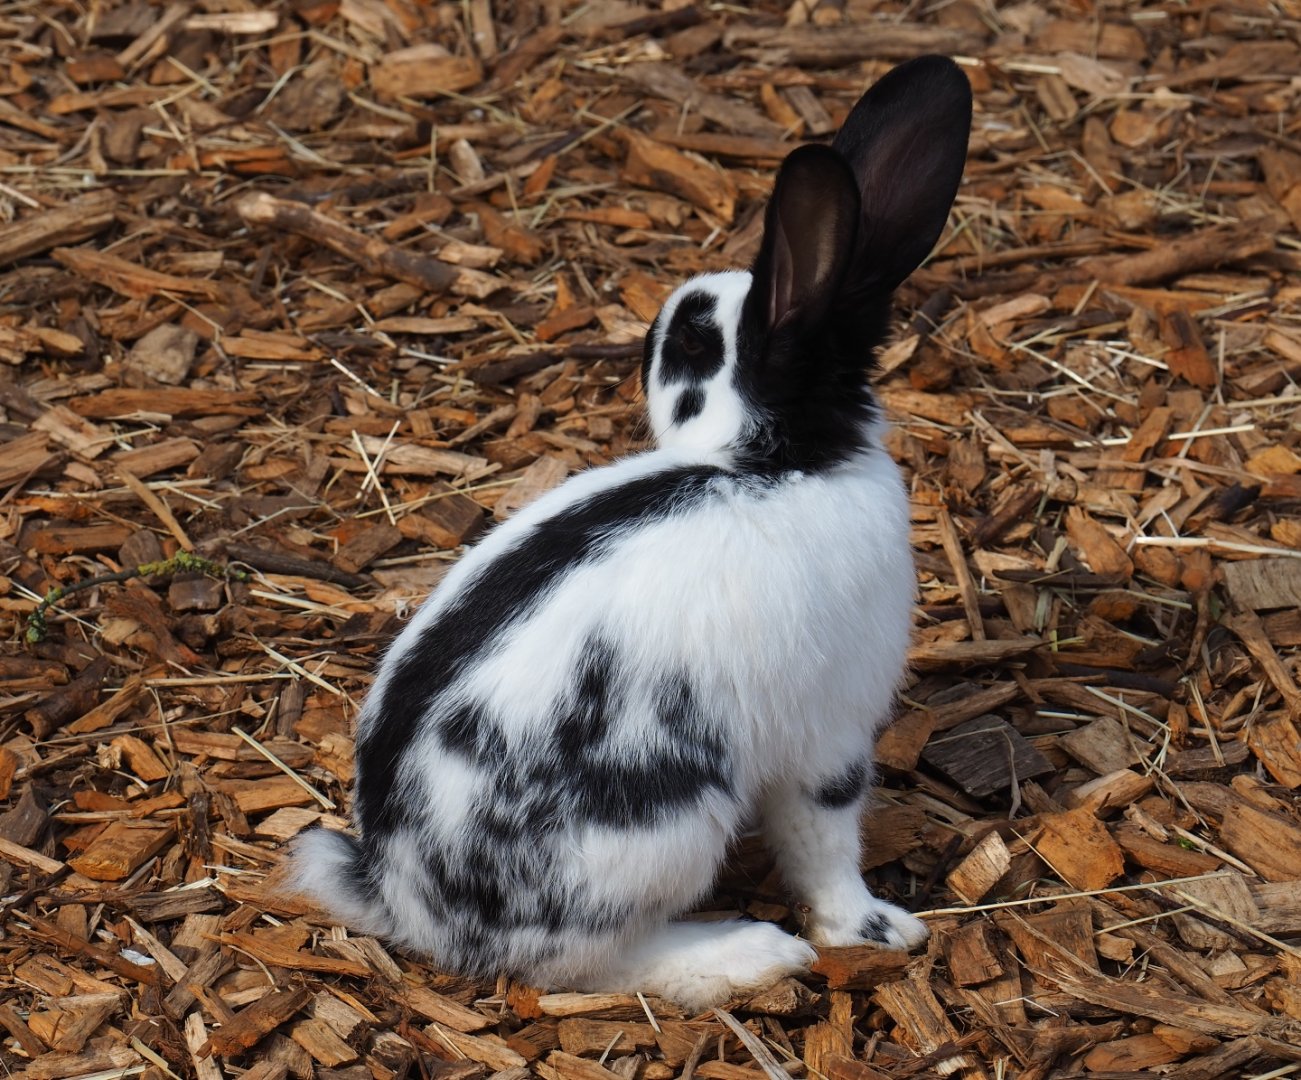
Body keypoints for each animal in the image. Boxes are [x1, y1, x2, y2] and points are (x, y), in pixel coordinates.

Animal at [287, 54, 972, 1011]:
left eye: (691, 340)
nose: (650, 329)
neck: (776, 460)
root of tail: (405, 900)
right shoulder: (829, 734)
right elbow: (824, 845)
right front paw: (875, 931)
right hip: (665, 826)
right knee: (583, 967)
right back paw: (748, 954)